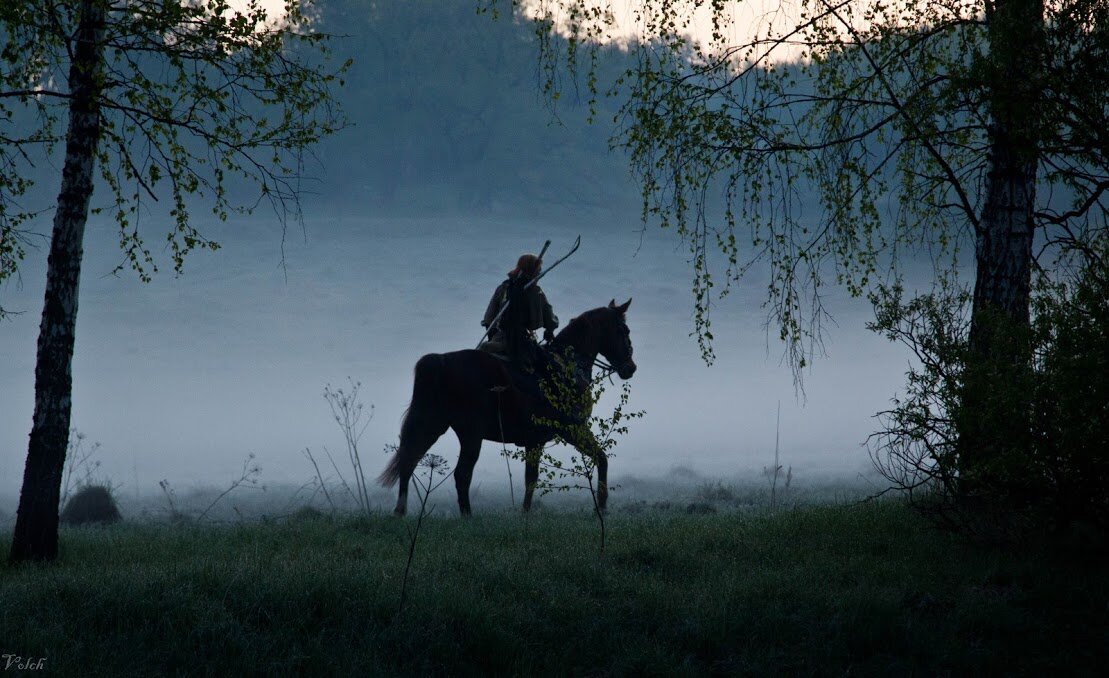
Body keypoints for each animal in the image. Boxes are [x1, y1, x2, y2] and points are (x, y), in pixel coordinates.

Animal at [381, 299, 638, 517]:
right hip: (471, 435)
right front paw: (601, 507)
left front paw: (525, 514)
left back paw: (400, 511)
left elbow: (531, 478)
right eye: (624, 331)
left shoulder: (535, 441)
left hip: (432, 425)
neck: (566, 367)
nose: (631, 368)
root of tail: (441, 361)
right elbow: (601, 459)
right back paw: (467, 516)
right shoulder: (573, 430)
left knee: (409, 461)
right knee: (461, 474)